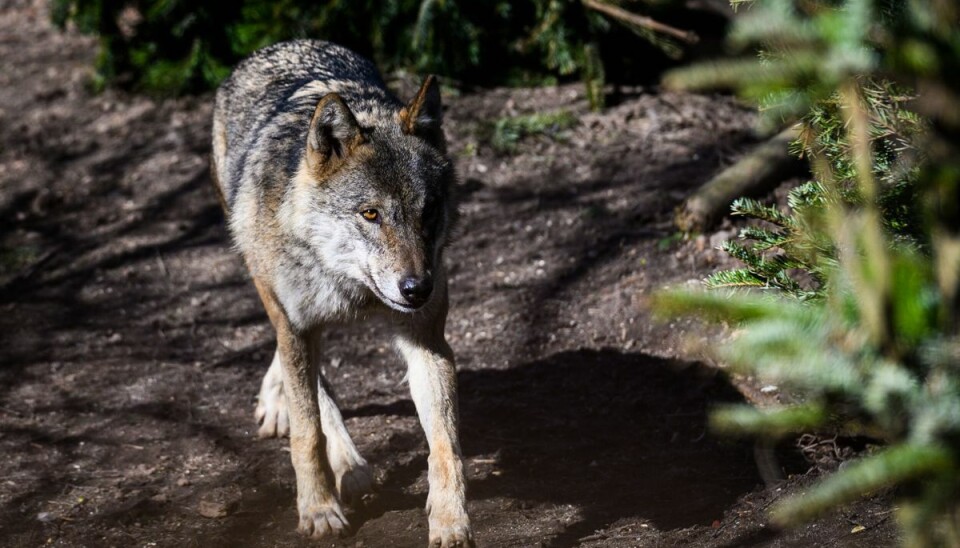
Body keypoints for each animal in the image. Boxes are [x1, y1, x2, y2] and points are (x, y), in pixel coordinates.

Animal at [214, 40, 476, 544]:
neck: (350, 288)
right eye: (370, 213)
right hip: (264, 280)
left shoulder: (426, 340)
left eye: (428, 210)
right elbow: (307, 432)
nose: (417, 288)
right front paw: (317, 509)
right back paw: (344, 463)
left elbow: (445, 444)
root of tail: (282, 44)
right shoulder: (295, 324)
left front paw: (451, 520)